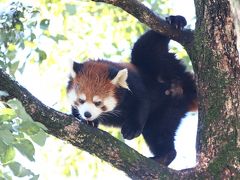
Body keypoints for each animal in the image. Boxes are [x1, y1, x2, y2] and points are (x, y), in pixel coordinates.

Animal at [66, 15, 197, 166]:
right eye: (81, 100)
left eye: (98, 103)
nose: (87, 114)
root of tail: (182, 88)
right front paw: (90, 121)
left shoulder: (134, 83)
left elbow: (142, 102)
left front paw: (132, 129)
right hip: (168, 113)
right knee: (158, 132)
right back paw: (164, 156)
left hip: (158, 67)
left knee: (146, 48)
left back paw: (175, 21)